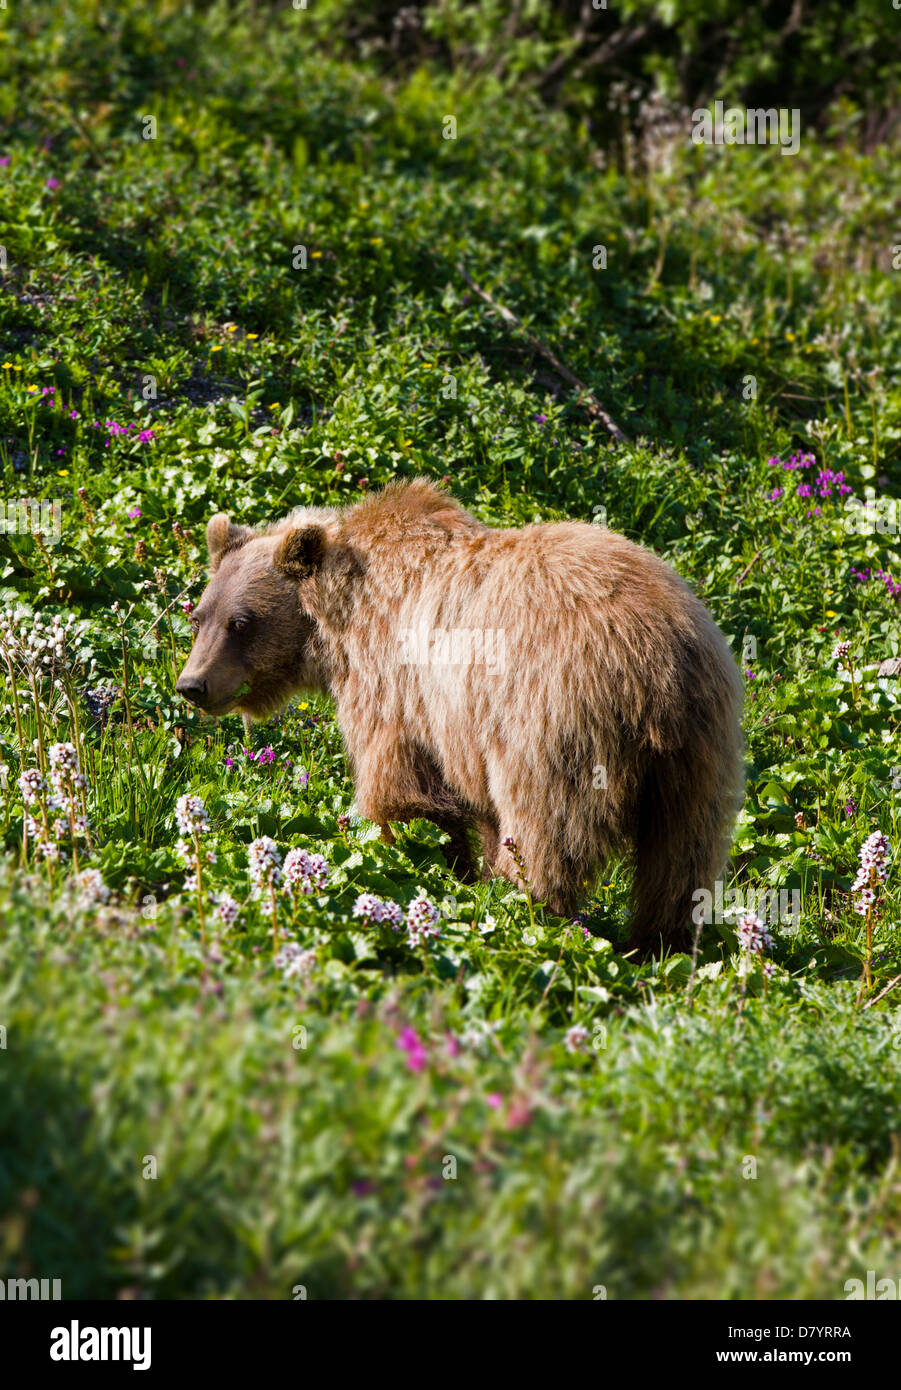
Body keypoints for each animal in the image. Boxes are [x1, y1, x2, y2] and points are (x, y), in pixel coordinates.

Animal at [179, 480, 745, 956]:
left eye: (241, 622)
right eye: (200, 615)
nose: (192, 685)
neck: (339, 617)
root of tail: (658, 659)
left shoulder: (398, 690)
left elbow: (401, 791)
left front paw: (412, 861)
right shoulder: (460, 725)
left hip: (555, 720)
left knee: (548, 828)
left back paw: (529, 911)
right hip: (699, 747)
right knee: (682, 853)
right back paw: (661, 943)